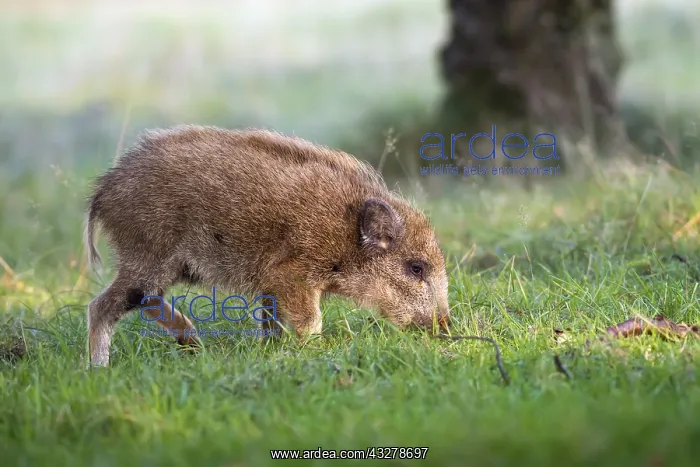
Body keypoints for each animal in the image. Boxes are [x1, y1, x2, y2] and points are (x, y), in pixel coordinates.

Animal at [83, 125, 450, 366]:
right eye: (416, 267)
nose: (445, 327)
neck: (346, 237)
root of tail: (102, 191)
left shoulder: (271, 286)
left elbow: (271, 321)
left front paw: (271, 351)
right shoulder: (293, 277)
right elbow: (310, 321)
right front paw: (315, 352)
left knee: (146, 300)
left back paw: (194, 345)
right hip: (148, 255)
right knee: (102, 306)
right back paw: (99, 369)